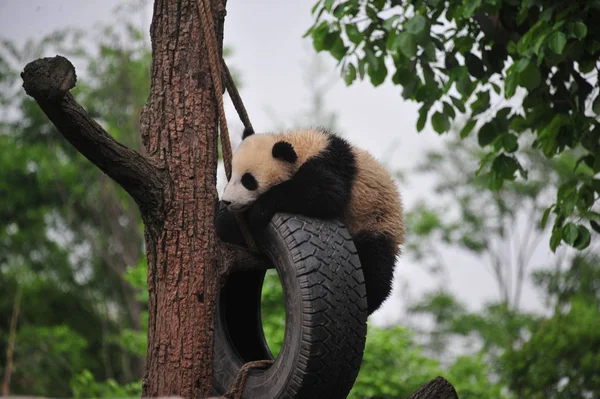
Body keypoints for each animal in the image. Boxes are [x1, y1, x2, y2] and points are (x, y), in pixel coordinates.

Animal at [213, 128, 406, 316]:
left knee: (376, 268)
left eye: (248, 181)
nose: (228, 201)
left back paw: (370, 302)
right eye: (231, 176)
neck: (300, 147)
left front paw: (256, 212)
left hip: (375, 223)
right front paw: (225, 221)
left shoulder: (329, 163)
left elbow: (325, 192)